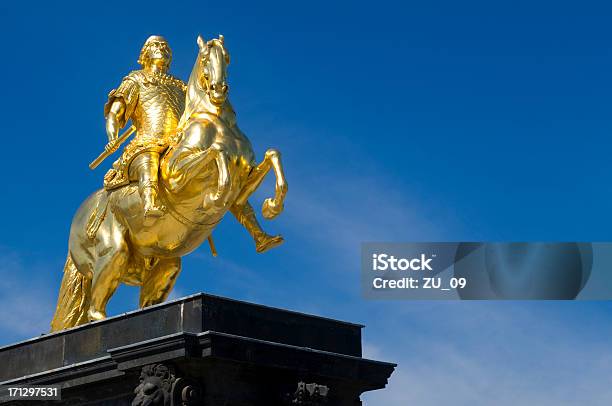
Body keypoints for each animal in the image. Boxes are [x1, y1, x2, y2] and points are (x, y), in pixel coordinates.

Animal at [50, 35, 286, 334]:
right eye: (206, 58)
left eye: (227, 57)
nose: (219, 89)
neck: (216, 121)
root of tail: (80, 216)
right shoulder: (175, 177)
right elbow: (216, 153)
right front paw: (215, 196)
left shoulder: (244, 179)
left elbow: (271, 157)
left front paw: (272, 206)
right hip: (113, 252)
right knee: (94, 307)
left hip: (165, 264)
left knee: (145, 299)